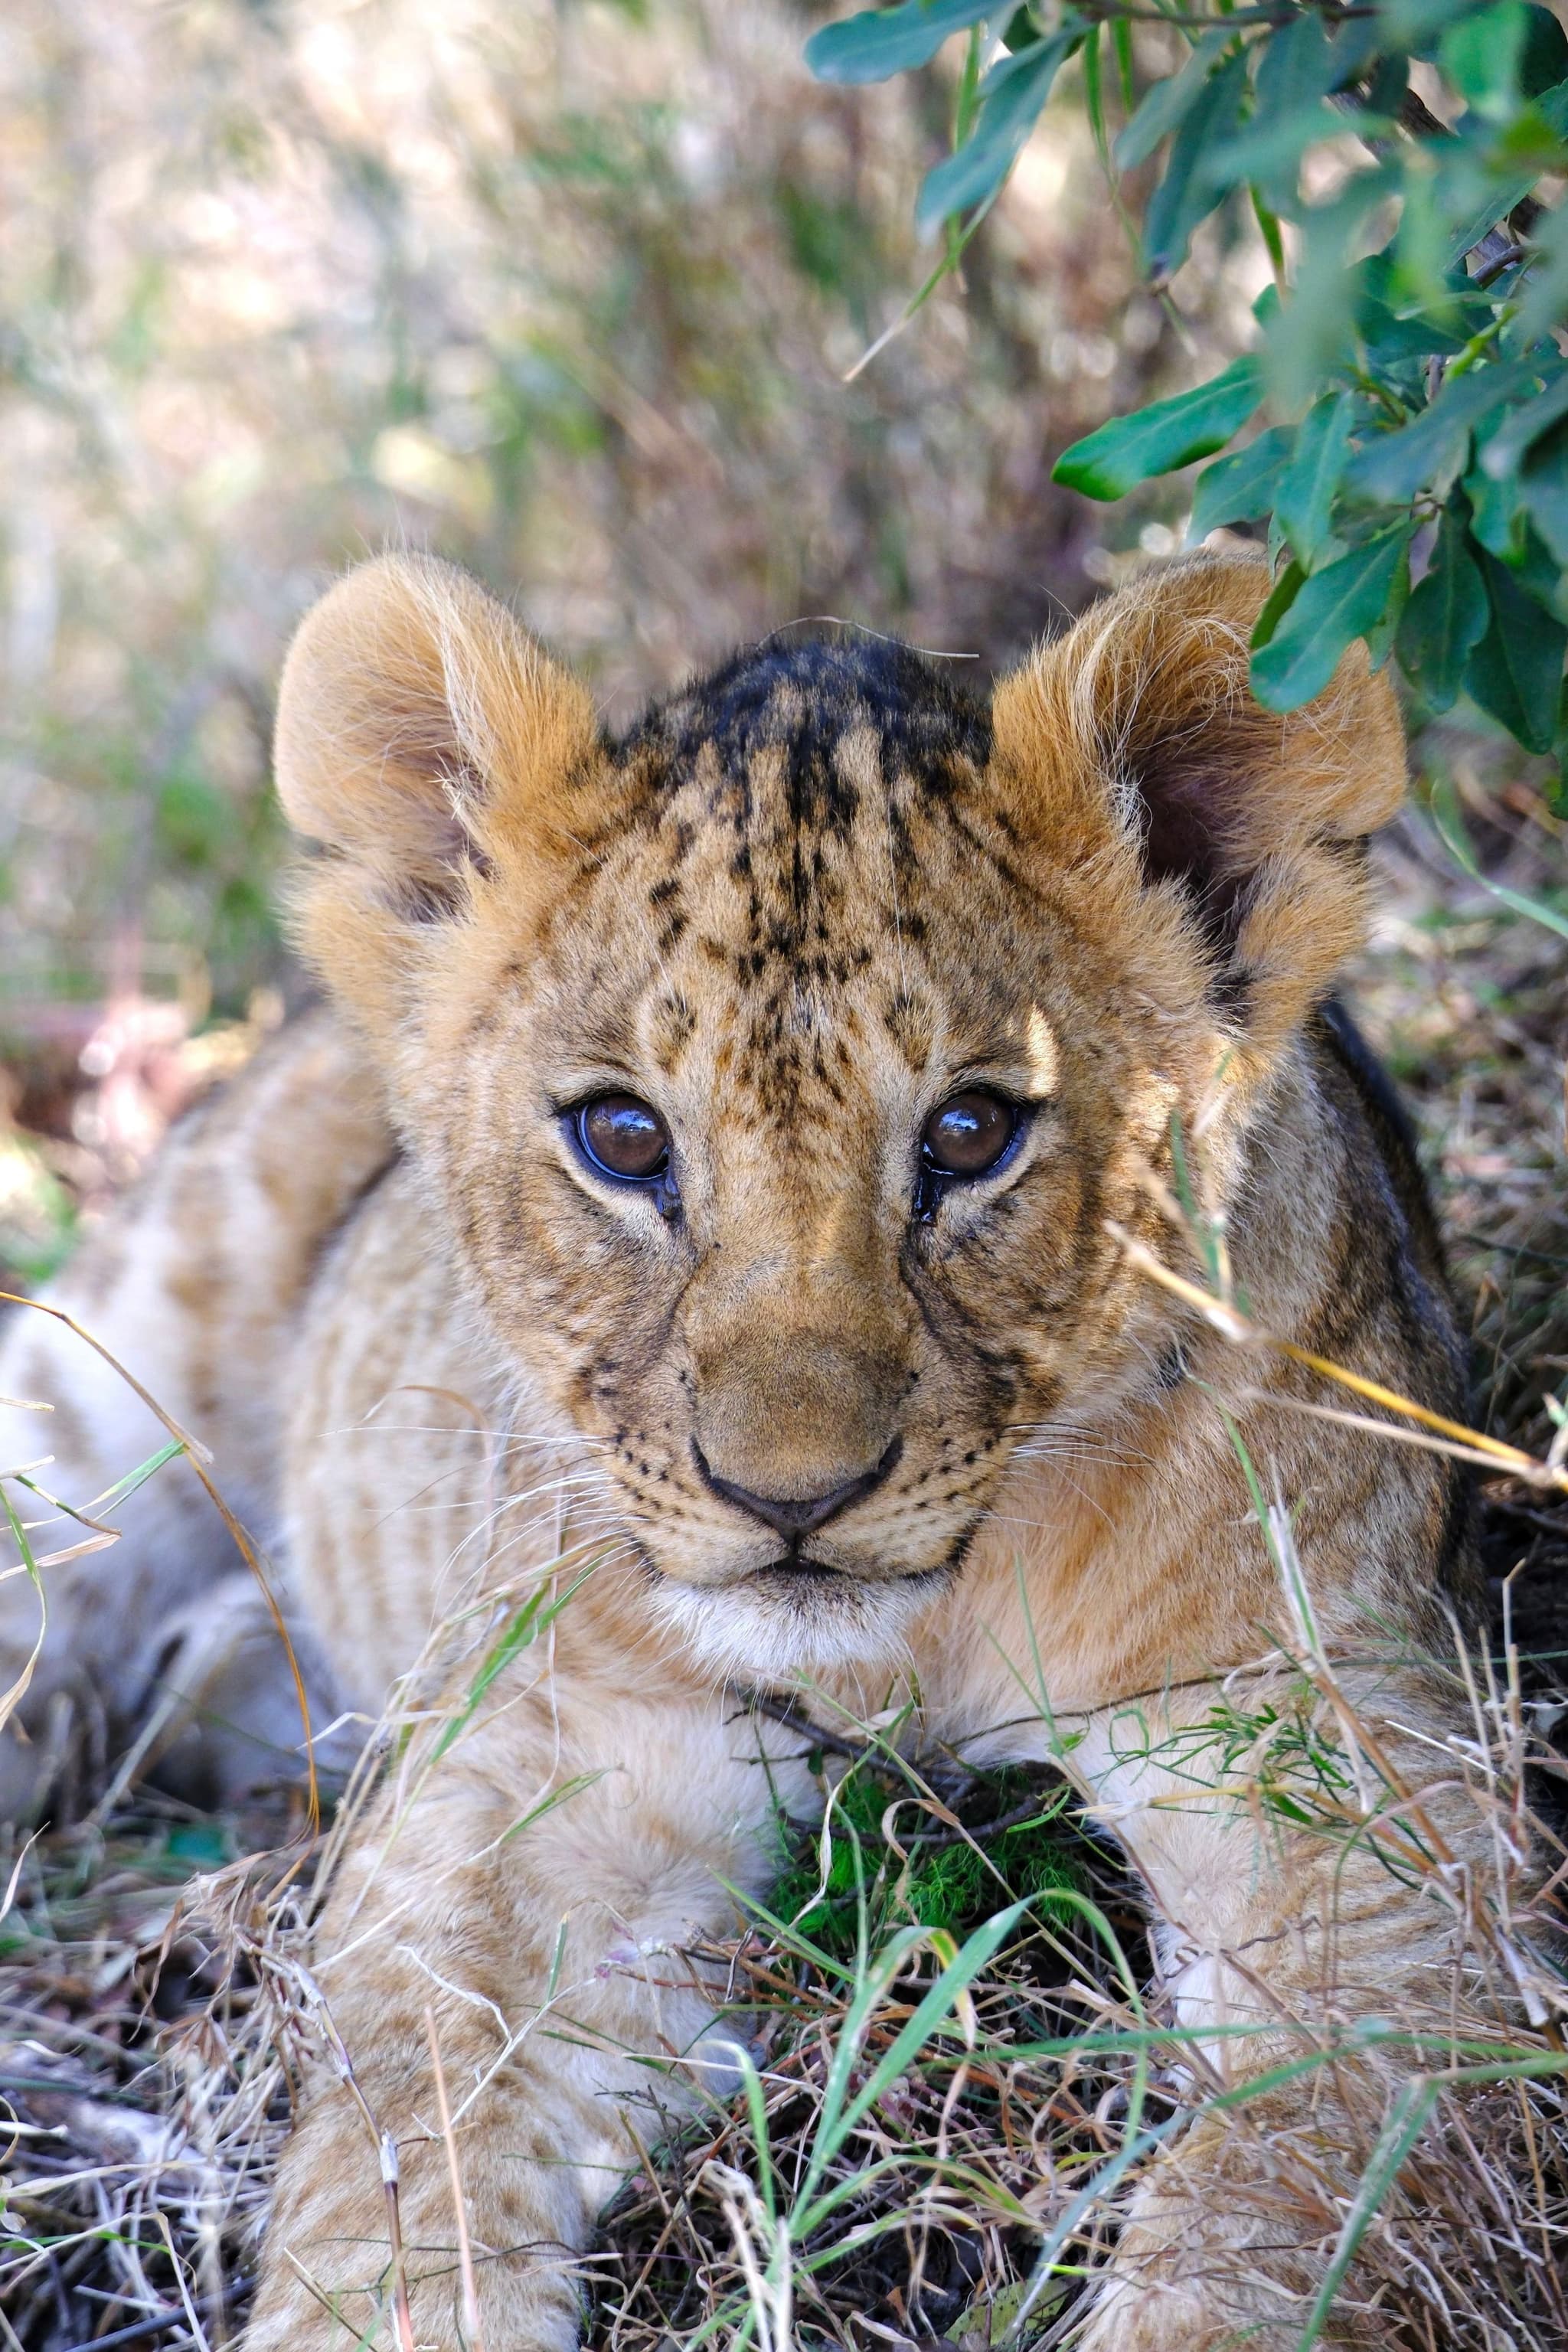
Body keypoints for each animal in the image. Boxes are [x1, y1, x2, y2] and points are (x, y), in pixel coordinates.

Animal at [0, 550, 1504, 2347]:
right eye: (622, 1139)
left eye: (972, 1133)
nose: (791, 1498)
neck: (909, 1644)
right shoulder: (536, 1796)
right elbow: (401, 2178)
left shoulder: (1351, 1816)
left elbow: (1276, 2226)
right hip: (119, 1351)